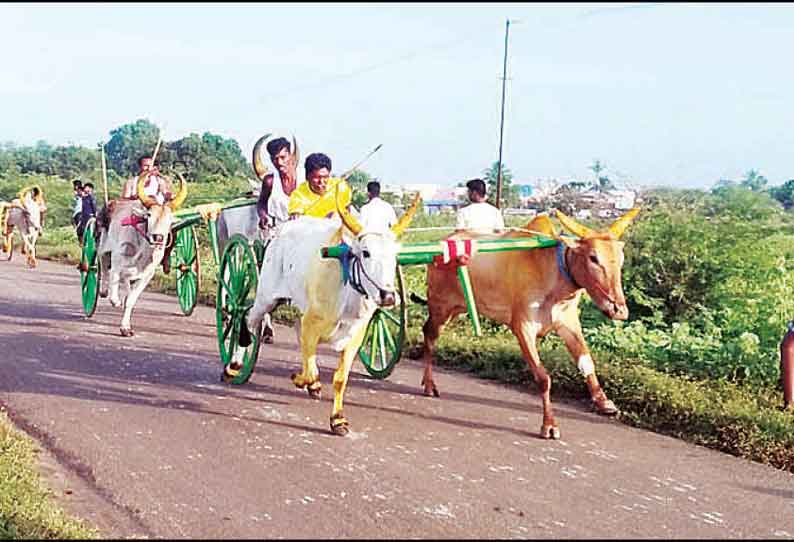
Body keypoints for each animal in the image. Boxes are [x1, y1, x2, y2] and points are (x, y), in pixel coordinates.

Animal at [96, 173, 187, 336]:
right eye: (149, 215)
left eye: (170, 219)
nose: (158, 238)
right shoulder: (117, 263)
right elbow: (114, 289)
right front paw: (115, 301)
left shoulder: (146, 275)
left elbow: (130, 300)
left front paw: (125, 328)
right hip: (104, 244)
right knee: (104, 263)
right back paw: (104, 290)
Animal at [235, 187, 420, 438]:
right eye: (365, 253)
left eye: (395, 256)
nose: (389, 296)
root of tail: (280, 233)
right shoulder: (312, 324)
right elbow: (310, 371)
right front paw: (300, 380)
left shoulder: (354, 335)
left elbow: (339, 379)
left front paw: (338, 419)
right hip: (265, 297)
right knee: (248, 320)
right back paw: (233, 366)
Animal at [420, 208, 636, 442]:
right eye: (593, 257)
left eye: (621, 259)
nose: (619, 309)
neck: (553, 273)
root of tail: (443, 244)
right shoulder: (522, 326)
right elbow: (543, 378)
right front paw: (549, 424)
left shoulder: (568, 322)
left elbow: (586, 362)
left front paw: (603, 401)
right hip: (440, 307)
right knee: (429, 335)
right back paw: (429, 385)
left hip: (456, 309)